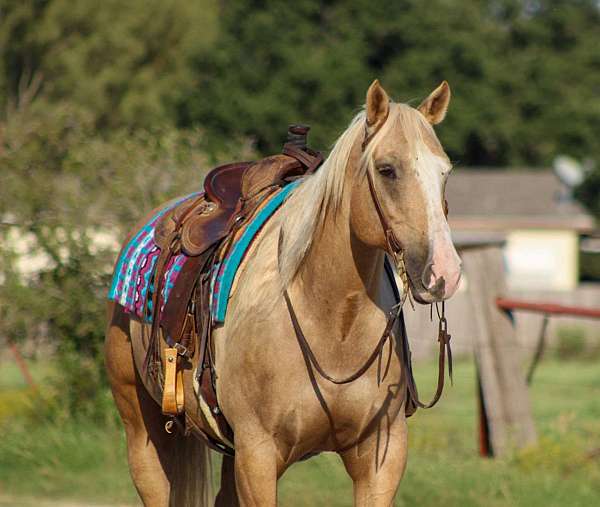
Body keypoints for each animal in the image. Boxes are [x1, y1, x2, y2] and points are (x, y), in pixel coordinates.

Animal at [105, 81, 462, 506]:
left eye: (445, 172)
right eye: (386, 169)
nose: (444, 271)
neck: (332, 323)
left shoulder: (382, 455)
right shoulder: (258, 456)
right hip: (143, 434)